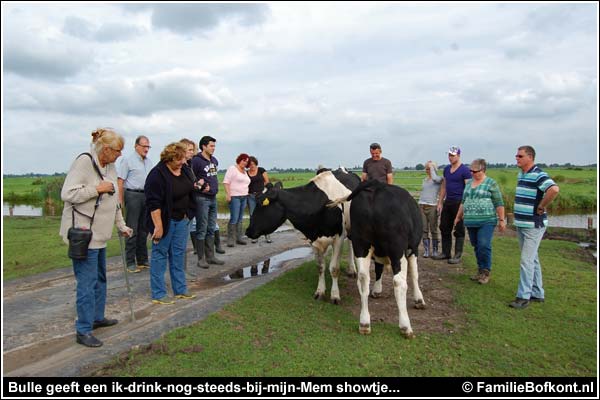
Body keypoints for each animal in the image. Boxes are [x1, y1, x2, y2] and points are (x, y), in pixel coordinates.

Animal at [245, 168, 358, 304]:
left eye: (262, 205)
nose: (248, 231)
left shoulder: (338, 238)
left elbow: (334, 268)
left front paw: (335, 295)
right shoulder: (313, 239)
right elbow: (320, 267)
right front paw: (320, 292)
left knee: (351, 244)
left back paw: (352, 270)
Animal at [328, 178, 426, 338]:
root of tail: (376, 186)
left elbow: (378, 269)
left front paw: (377, 290)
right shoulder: (413, 249)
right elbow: (414, 274)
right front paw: (419, 299)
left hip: (361, 244)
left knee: (363, 279)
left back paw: (364, 323)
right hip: (396, 249)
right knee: (398, 282)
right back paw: (405, 326)